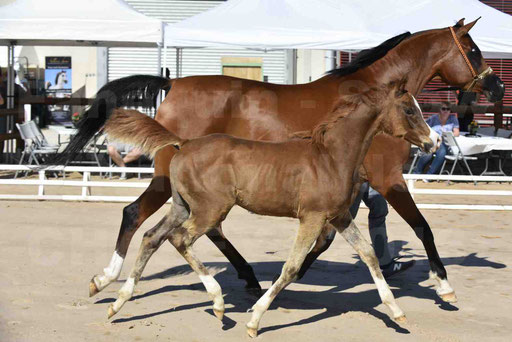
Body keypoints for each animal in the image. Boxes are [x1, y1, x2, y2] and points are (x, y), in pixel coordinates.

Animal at [54, 19, 502, 302]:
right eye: (474, 49)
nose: (497, 87)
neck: (370, 96)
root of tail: (173, 82)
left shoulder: (350, 185)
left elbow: (330, 237)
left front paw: (300, 274)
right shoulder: (388, 177)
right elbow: (422, 227)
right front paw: (443, 284)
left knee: (203, 229)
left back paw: (249, 278)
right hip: (171, 178)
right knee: (138, 215)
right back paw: (106, 278)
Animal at [103, 81, 436, 338]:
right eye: (409, 110)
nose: (431, 142)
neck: (331, 157)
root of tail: (184, 143)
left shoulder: (339, 216)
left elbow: (368, 255)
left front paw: (397, 312)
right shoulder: (312, 217)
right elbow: (290, 267)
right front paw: (254, 320)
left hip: (183, 207)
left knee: (152, 237)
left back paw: (117, 301)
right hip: (210, 210)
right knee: (178, 239)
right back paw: (218, 303)